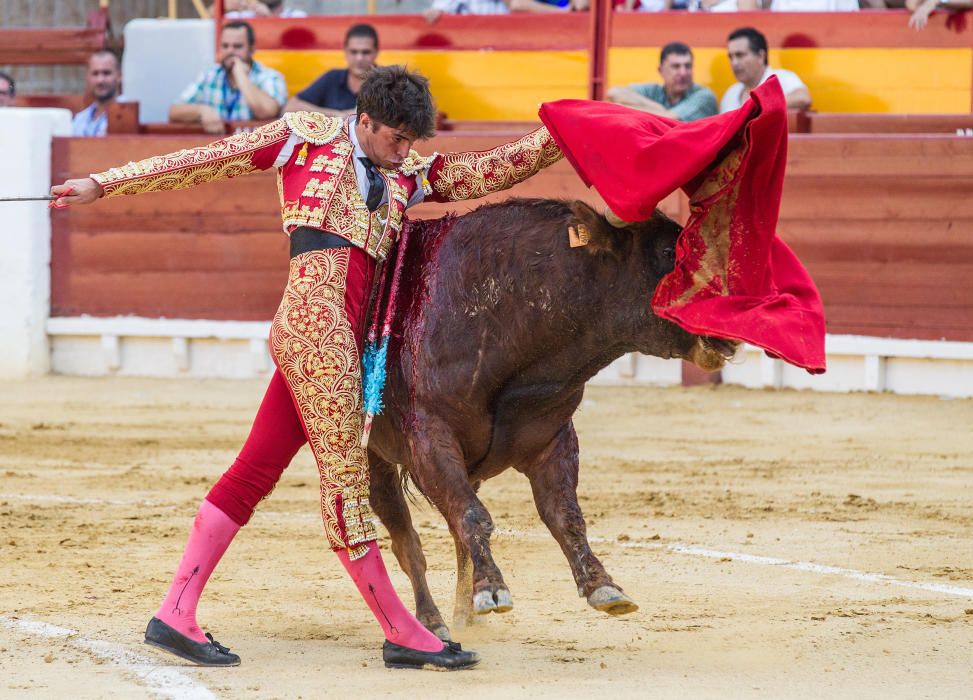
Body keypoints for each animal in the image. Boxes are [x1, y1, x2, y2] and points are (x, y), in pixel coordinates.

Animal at [364, 197, 736, 640]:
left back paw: (462, 617)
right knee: (407, 540)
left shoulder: (553, 439)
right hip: (369, 454)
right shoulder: (429, 439)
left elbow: (564, 514)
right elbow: (472, 515)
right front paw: (492, 591)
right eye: (667, 253)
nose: (729, 324)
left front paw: (603, 586)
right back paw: (432, 623)